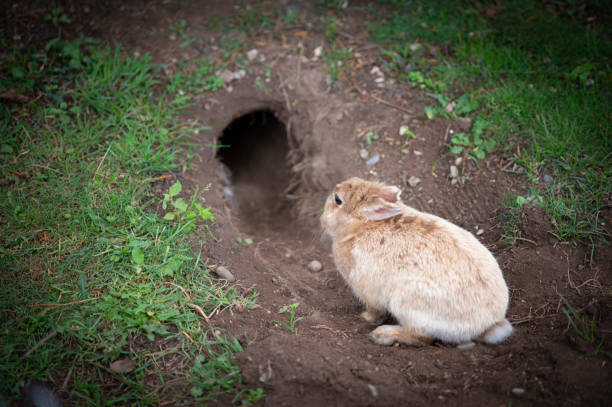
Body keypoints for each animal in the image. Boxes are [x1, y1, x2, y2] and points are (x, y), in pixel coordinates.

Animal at [320, 177, 512, 346]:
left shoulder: (367, 290)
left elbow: (375, 311)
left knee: (421, 338)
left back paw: (383, 334)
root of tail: (488, 323)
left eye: (338, 200)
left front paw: (365, 318)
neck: (359, 227)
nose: (333, 190)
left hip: (407, 306)